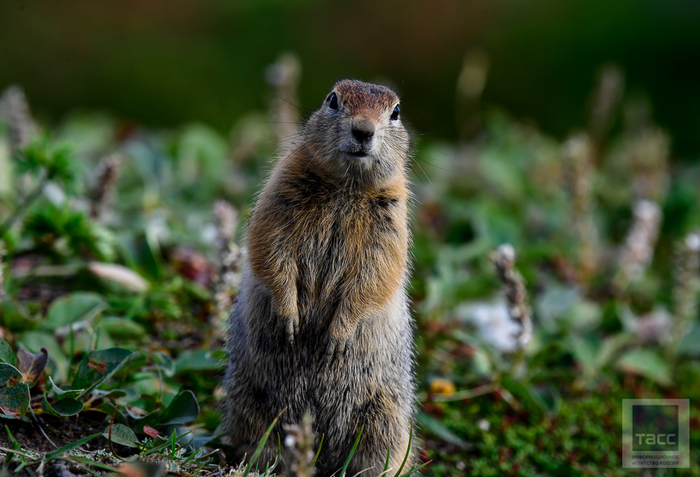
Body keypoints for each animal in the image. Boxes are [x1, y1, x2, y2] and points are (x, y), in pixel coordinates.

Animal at [226, 80, 416, 474]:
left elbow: (375, 275)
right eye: (333, 100)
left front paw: (337, 337)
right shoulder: (279, 195)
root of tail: (322, 449)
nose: (363, 130)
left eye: (395, 112)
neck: (347, 186)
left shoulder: (391, 221)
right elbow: (272, 249)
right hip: (250, 401)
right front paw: (289, 320)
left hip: (386, 417)